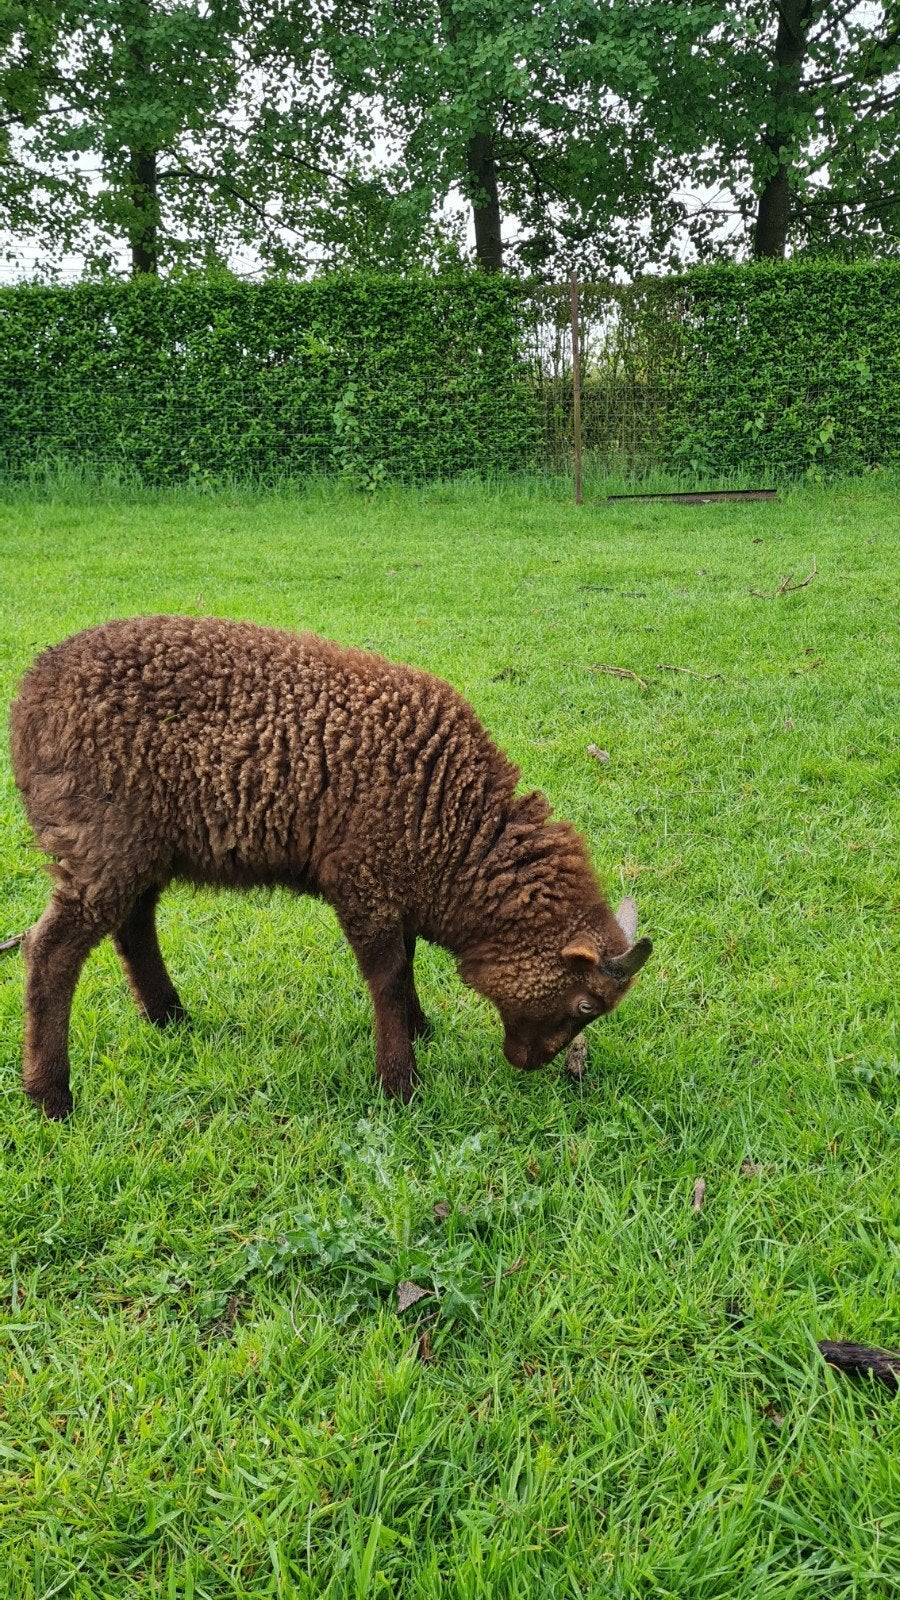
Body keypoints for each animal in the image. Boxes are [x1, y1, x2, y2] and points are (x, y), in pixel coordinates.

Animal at [9, 615, 652, 1118]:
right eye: (586, 1005)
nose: (529, 1064)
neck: (457, 831)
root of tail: (28, 700)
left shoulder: (395, 882)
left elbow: (406, 962)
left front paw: (420, 1030)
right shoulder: (363, 881)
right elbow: (387, 976)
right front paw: (401, 1084)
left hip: (138, 847)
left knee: (134, 925)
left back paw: (169, 1019)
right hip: (103, 839)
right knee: (52, 952)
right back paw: (51, 1096)